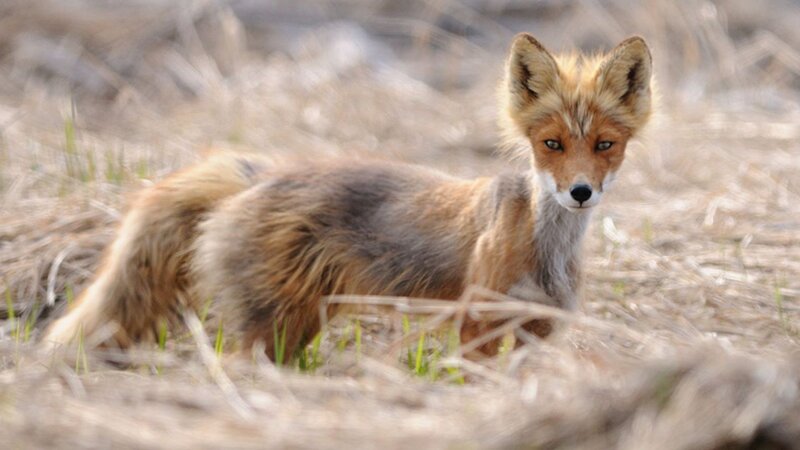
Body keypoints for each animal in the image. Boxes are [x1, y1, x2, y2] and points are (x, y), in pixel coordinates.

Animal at [43, 34, 653, 359]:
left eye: (605, 145)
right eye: (551, 144)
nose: (579, 192)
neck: (545, 249)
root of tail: (260, 176)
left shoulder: (538, 336)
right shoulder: (477, 327)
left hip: (300, 324)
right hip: (273, 325)